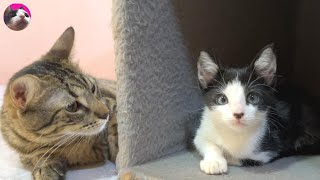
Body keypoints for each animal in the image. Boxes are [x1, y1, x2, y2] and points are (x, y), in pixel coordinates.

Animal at [0, 27, 117, 179]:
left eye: (93, 88)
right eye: (72, 106)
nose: (106, 114)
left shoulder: (112, 103)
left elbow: (116, 128)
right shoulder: (25, 154)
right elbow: (37, 156)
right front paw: (45, 167)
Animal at [194, 45, 318, 174]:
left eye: (252, 98)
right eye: (222, 99)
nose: (238, 114)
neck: (235, 133)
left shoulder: (269, 151)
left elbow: (242, 158)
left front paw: (225, 157)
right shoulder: (203, 130)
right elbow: (205, 142)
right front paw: (214, 162)